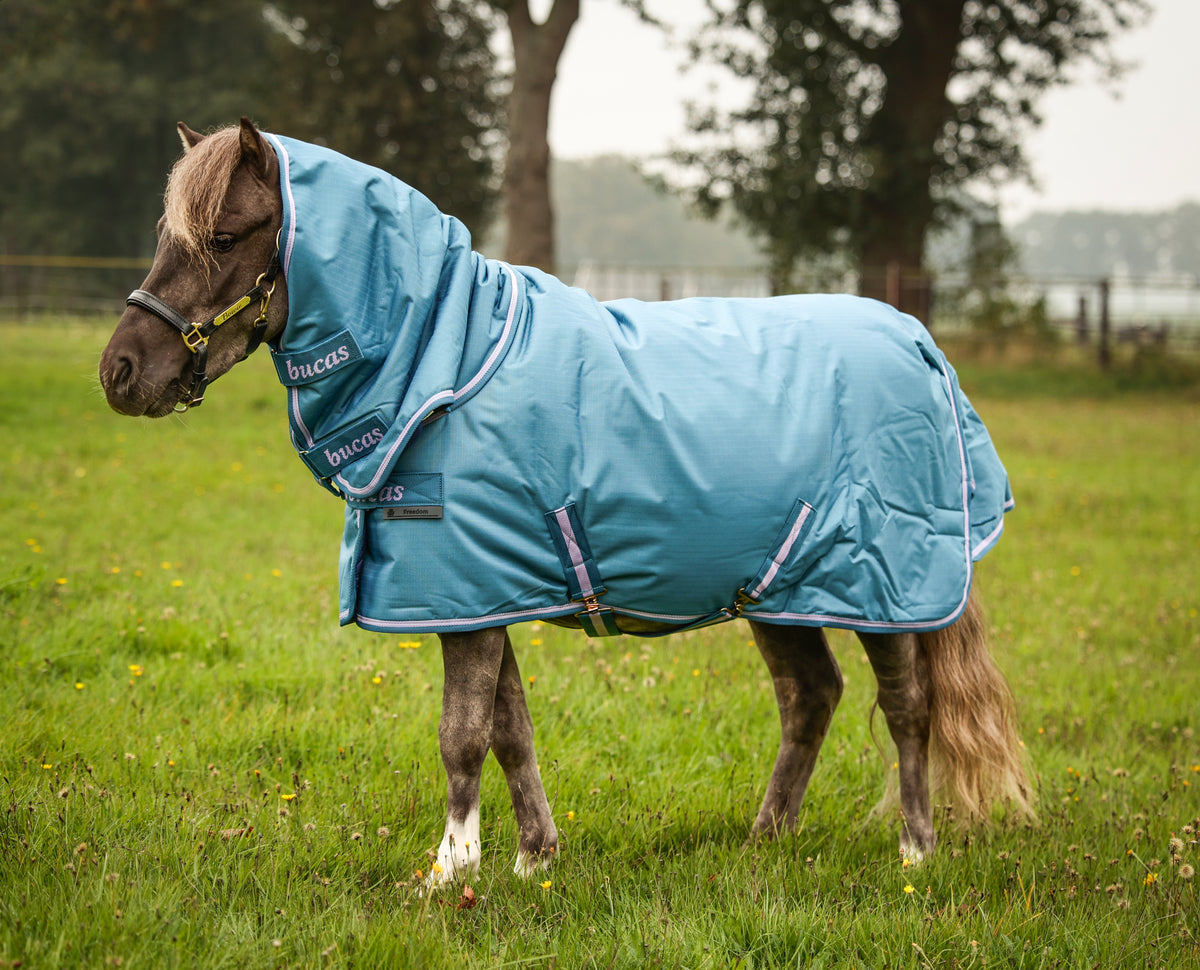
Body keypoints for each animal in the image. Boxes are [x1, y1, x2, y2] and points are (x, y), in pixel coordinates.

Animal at [99, 119, 1031, 886]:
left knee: (906, 707)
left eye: (223, 235)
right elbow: (509, 728)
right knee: (811, 697)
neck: (445, 363)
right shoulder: (486, 589)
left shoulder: (465, 594)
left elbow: (462, 735)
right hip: (783, 587)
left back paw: (914, 852)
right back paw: (765, 841)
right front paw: (530, 861)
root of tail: (919, 343)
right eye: (168, 236)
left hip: (886, 584)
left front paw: (448, 874)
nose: (120, 372)